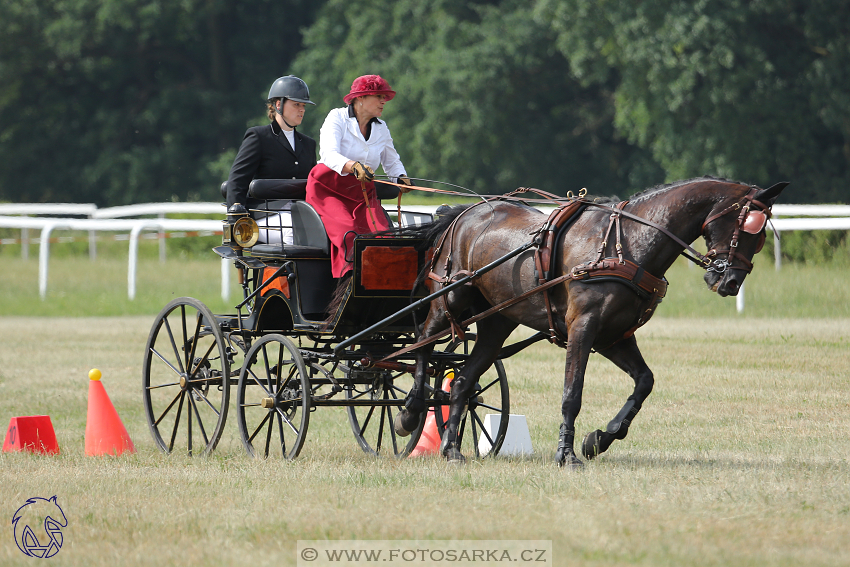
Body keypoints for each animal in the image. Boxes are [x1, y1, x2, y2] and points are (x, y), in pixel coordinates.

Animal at [394, 176, 784, 466]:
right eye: (746, 227)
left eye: (761, 237)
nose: (729, 282)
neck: (626, 245)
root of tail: (464, 213)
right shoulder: (583, 325)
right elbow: (573, 392)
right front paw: (566, 454)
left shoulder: (613, 336)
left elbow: (645, 381)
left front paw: (599, 439)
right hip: (448, 299)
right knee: (423, 343)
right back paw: (410, 412)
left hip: (497, 321)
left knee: (462, 380)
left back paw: (452, 449)